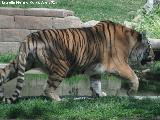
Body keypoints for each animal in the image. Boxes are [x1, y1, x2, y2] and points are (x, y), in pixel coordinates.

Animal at [0, 20, 153, 103]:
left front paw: (99, 95)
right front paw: (132, 92)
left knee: (3, 73)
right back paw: (58, 100)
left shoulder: (95, 69)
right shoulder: (119, 65)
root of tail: (30, 37)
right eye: (149, 47)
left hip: (21, 63)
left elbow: (96, 84)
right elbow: (134, 76)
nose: (153, 57)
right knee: (47, 88)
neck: (130, 42)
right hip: (61, 66)